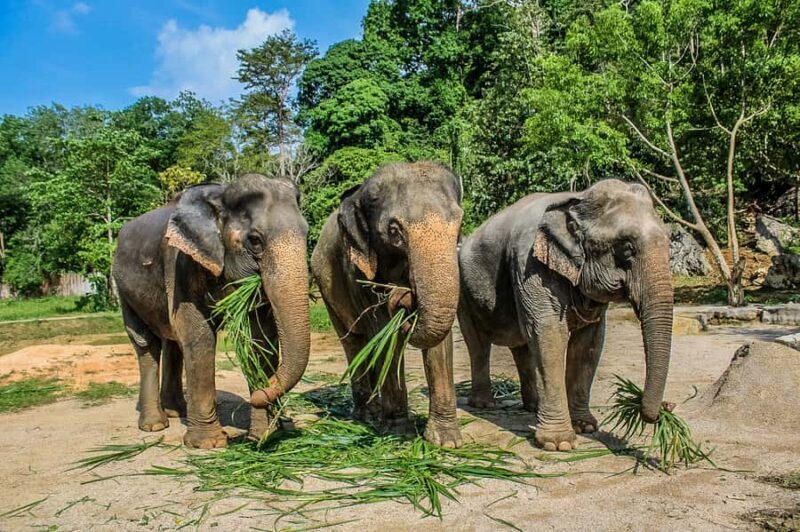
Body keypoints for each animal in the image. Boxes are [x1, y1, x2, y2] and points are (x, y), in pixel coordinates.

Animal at [112, 174, 310, 449]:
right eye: (255, 240)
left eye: (307, 234)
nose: (259, 395)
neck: (220, 194)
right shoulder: (180, 262)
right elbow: (199, 334)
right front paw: (209, 444)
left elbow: (260, 339)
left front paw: (264, 436)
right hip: (123, 289)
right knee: (146, 343)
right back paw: (155, 425)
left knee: (173, 342)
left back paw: (177, 412)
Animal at [311, 162, 464, 448]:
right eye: (394, 232)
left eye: (459, 225)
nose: (404, 294)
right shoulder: (359, 273)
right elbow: (385, 334)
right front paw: (398, 434)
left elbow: (440, 344)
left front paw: (446, 442)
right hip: (326, 291)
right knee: (354, 343)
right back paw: (368, 416)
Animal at [457, 179, 673, 451]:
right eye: (627, 248)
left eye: (669, 241)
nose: (666, 408)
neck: (577, 198)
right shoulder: (530, 264)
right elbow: (550, 334)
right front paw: (558, 444)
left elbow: (589, 343)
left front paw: (585, 427)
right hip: (462, 291)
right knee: (478, 344)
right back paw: (484, 404)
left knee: (523, 346)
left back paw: (533, 407)